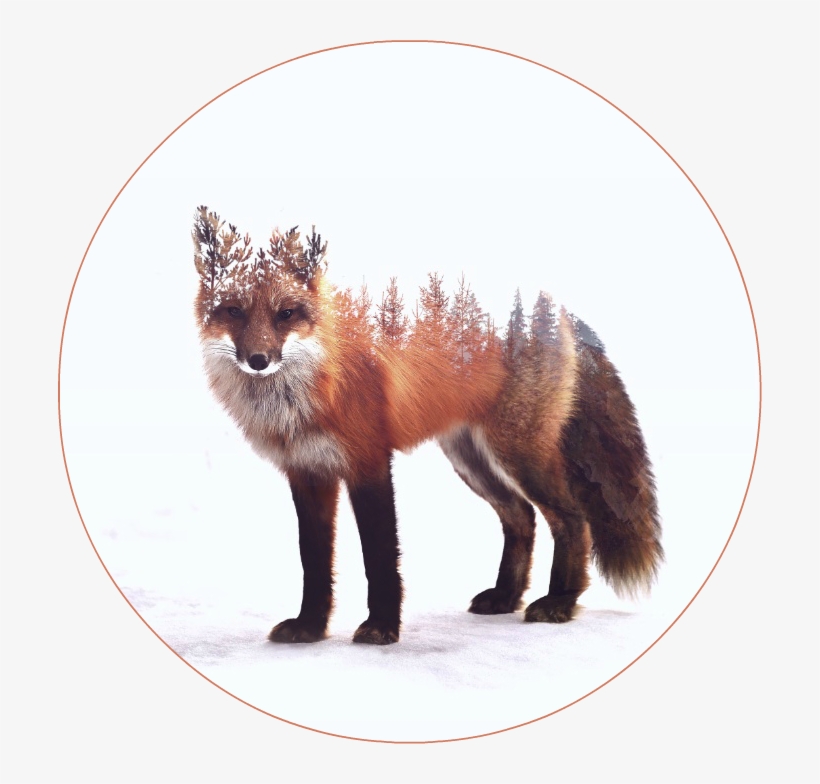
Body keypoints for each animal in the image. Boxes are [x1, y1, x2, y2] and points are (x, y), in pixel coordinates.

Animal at [192, 206, 663, 645]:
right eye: (233, 311)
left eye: (286, 314)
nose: (258, 360)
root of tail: (551, 301)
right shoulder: (307, 472)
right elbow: (314, 562)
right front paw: (310, 627)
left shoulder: (369, 462)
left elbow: (380, 556)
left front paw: (382, 628)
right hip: (471, 459)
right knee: (521, 517)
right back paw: (506, 597)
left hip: (518, 453)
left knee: (572, 519)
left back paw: (560, 602)